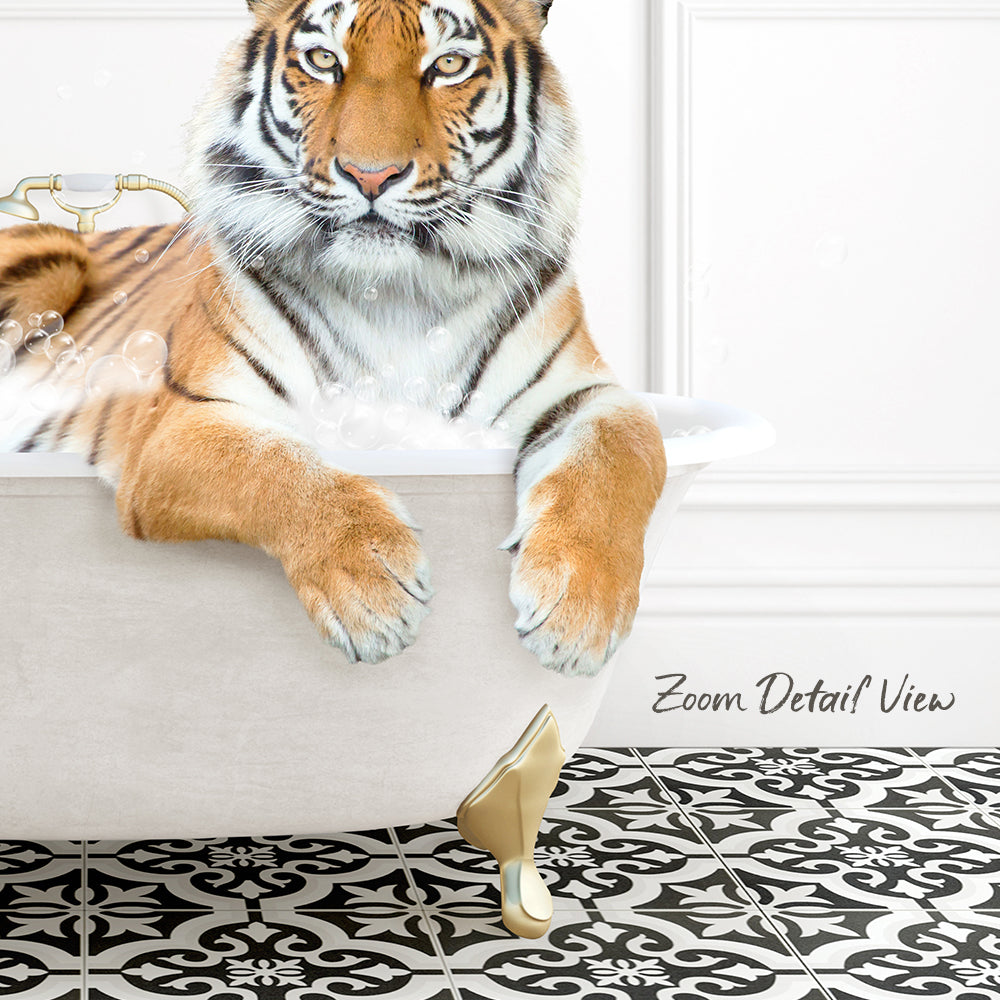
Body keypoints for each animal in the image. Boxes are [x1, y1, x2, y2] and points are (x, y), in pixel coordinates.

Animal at [0, 0, 666, 677]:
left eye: (448, 64)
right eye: (324, 60)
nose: (371, 176)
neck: (395, 295)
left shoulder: (586, 393)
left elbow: (624, 451)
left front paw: (578, 612)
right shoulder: (180, 423)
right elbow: (275, 466)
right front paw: (373, 592)